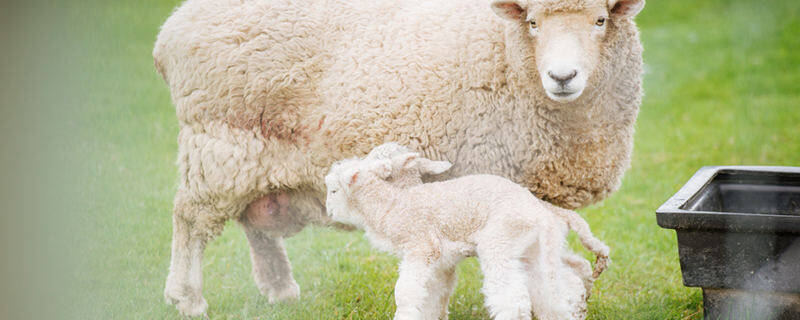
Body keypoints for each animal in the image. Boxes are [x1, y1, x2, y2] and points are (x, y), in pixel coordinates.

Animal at [322, 152, 608, 320]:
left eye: (334, 190)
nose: (328, 211)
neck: (394, 203)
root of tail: (540, 213)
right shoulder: (440, 262)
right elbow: (433, 295)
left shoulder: (421, 247)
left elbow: (406, 291)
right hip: (532, 251)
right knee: (554, 292)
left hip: (499, 242)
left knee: (513, 299)